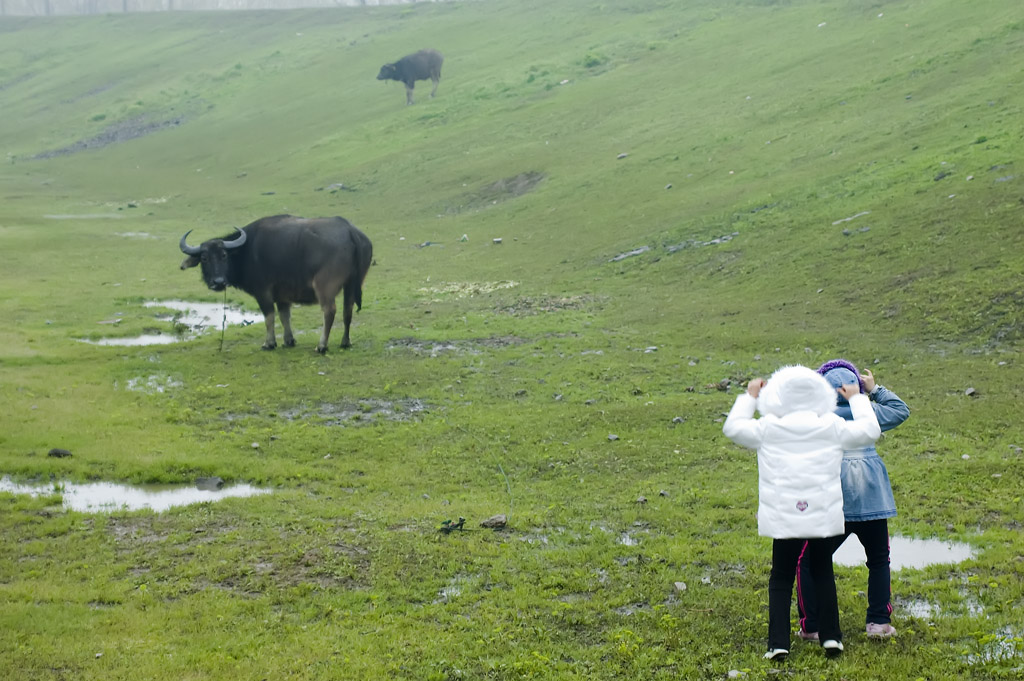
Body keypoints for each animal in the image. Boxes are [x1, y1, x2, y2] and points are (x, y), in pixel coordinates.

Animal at [179, 213, 372, 352]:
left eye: (224, 255)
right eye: (204, 258)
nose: (218, 282)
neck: (246, 250)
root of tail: (349, 230)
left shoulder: (263, 292)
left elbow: (269, 317)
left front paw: (269, 343)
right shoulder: (282, 295)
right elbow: (284, 316)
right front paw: (288, 340)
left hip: (324, 286)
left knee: (329, 311)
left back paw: (321, 345)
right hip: (352, 284)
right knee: (347, 311)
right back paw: (345, 342)